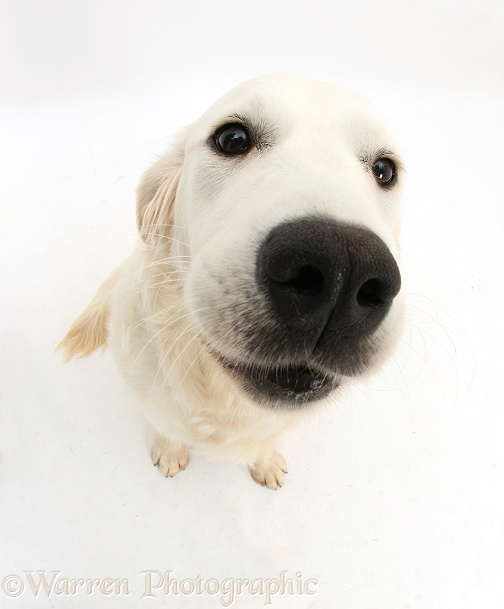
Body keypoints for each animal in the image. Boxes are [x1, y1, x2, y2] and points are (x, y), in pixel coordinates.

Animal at [59, 73, 406, 490]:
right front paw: (171, 451)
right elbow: (168, 426)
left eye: (384, 170)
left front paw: (265, 462)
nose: (343, 266)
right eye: (233, 139)